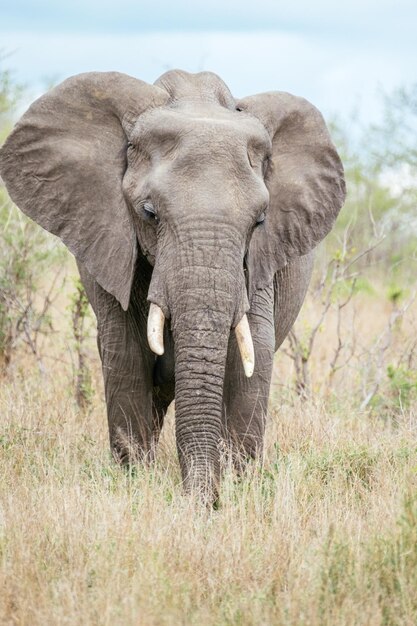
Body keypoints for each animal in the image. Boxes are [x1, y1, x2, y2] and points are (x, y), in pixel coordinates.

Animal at [0, 68, 344, 500]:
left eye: (260, 221)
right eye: (149, 213)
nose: (204, 503)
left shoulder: (260, 262)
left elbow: (252, 356)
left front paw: (240, 489)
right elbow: (125, 353)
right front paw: (135, 483)